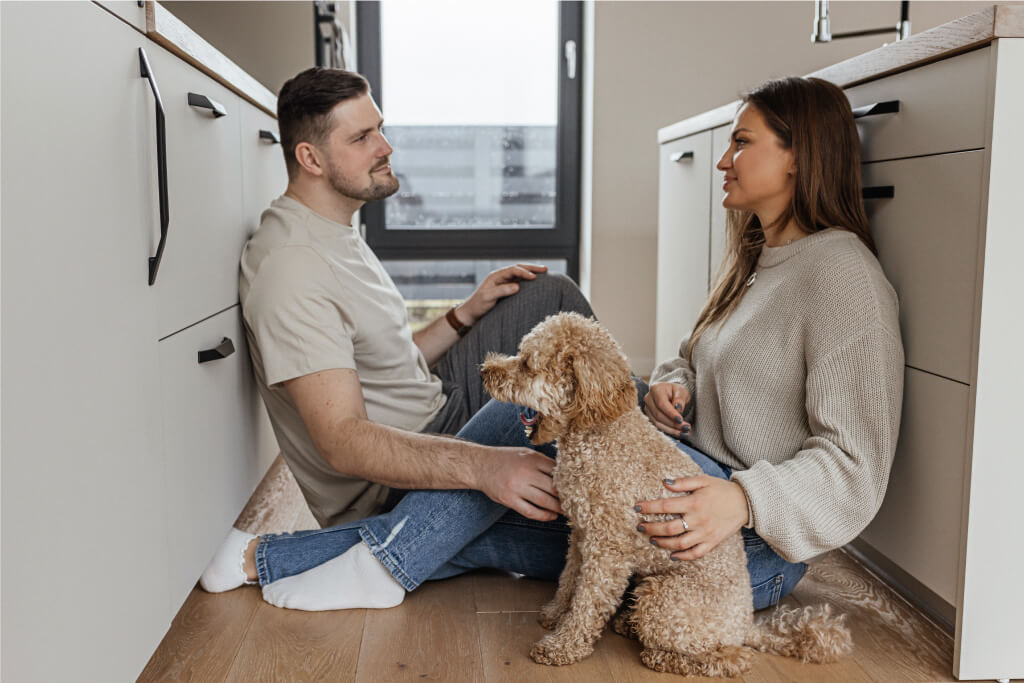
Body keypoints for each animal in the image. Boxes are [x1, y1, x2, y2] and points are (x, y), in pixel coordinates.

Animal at [481, 313, 856, 679]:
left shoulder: (607, 549)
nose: (485, 370)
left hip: (663, 599)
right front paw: (555, 613)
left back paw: (660, 656)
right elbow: (568, 580)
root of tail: (745, 624)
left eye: (527, 364)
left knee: (731, 659)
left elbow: (588, 602)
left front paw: (562, 646)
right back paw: (629, 624)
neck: (599, 433)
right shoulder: (581, 536)